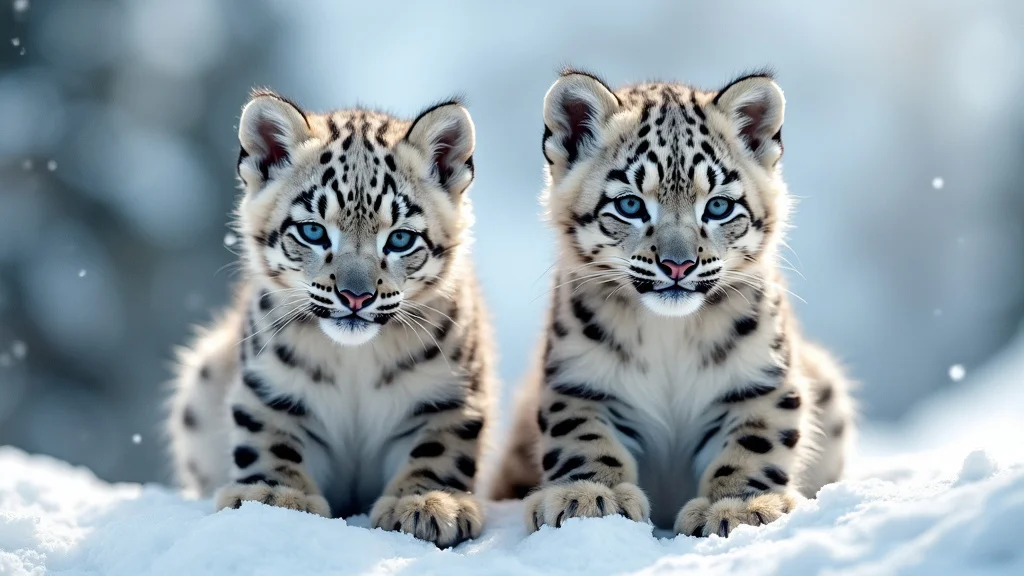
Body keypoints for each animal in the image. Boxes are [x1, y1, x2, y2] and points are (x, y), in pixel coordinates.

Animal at [166, 89, 496, 548]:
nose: (356, 296)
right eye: (313, 231)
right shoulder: (273, 388)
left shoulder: (447, 395)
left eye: (400, 238)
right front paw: (273, 496)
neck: (356, 362)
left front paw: (428, 504)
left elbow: (439, 448)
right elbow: (270, 439)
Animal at [491, 69, 854, 538]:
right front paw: (587, 496)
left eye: (718, 206)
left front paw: (739, 506)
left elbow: (756, 440)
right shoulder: (581, 378)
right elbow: (582, 435)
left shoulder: (759, 378)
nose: (678, 264)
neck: (671, 335)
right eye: (630, 204)